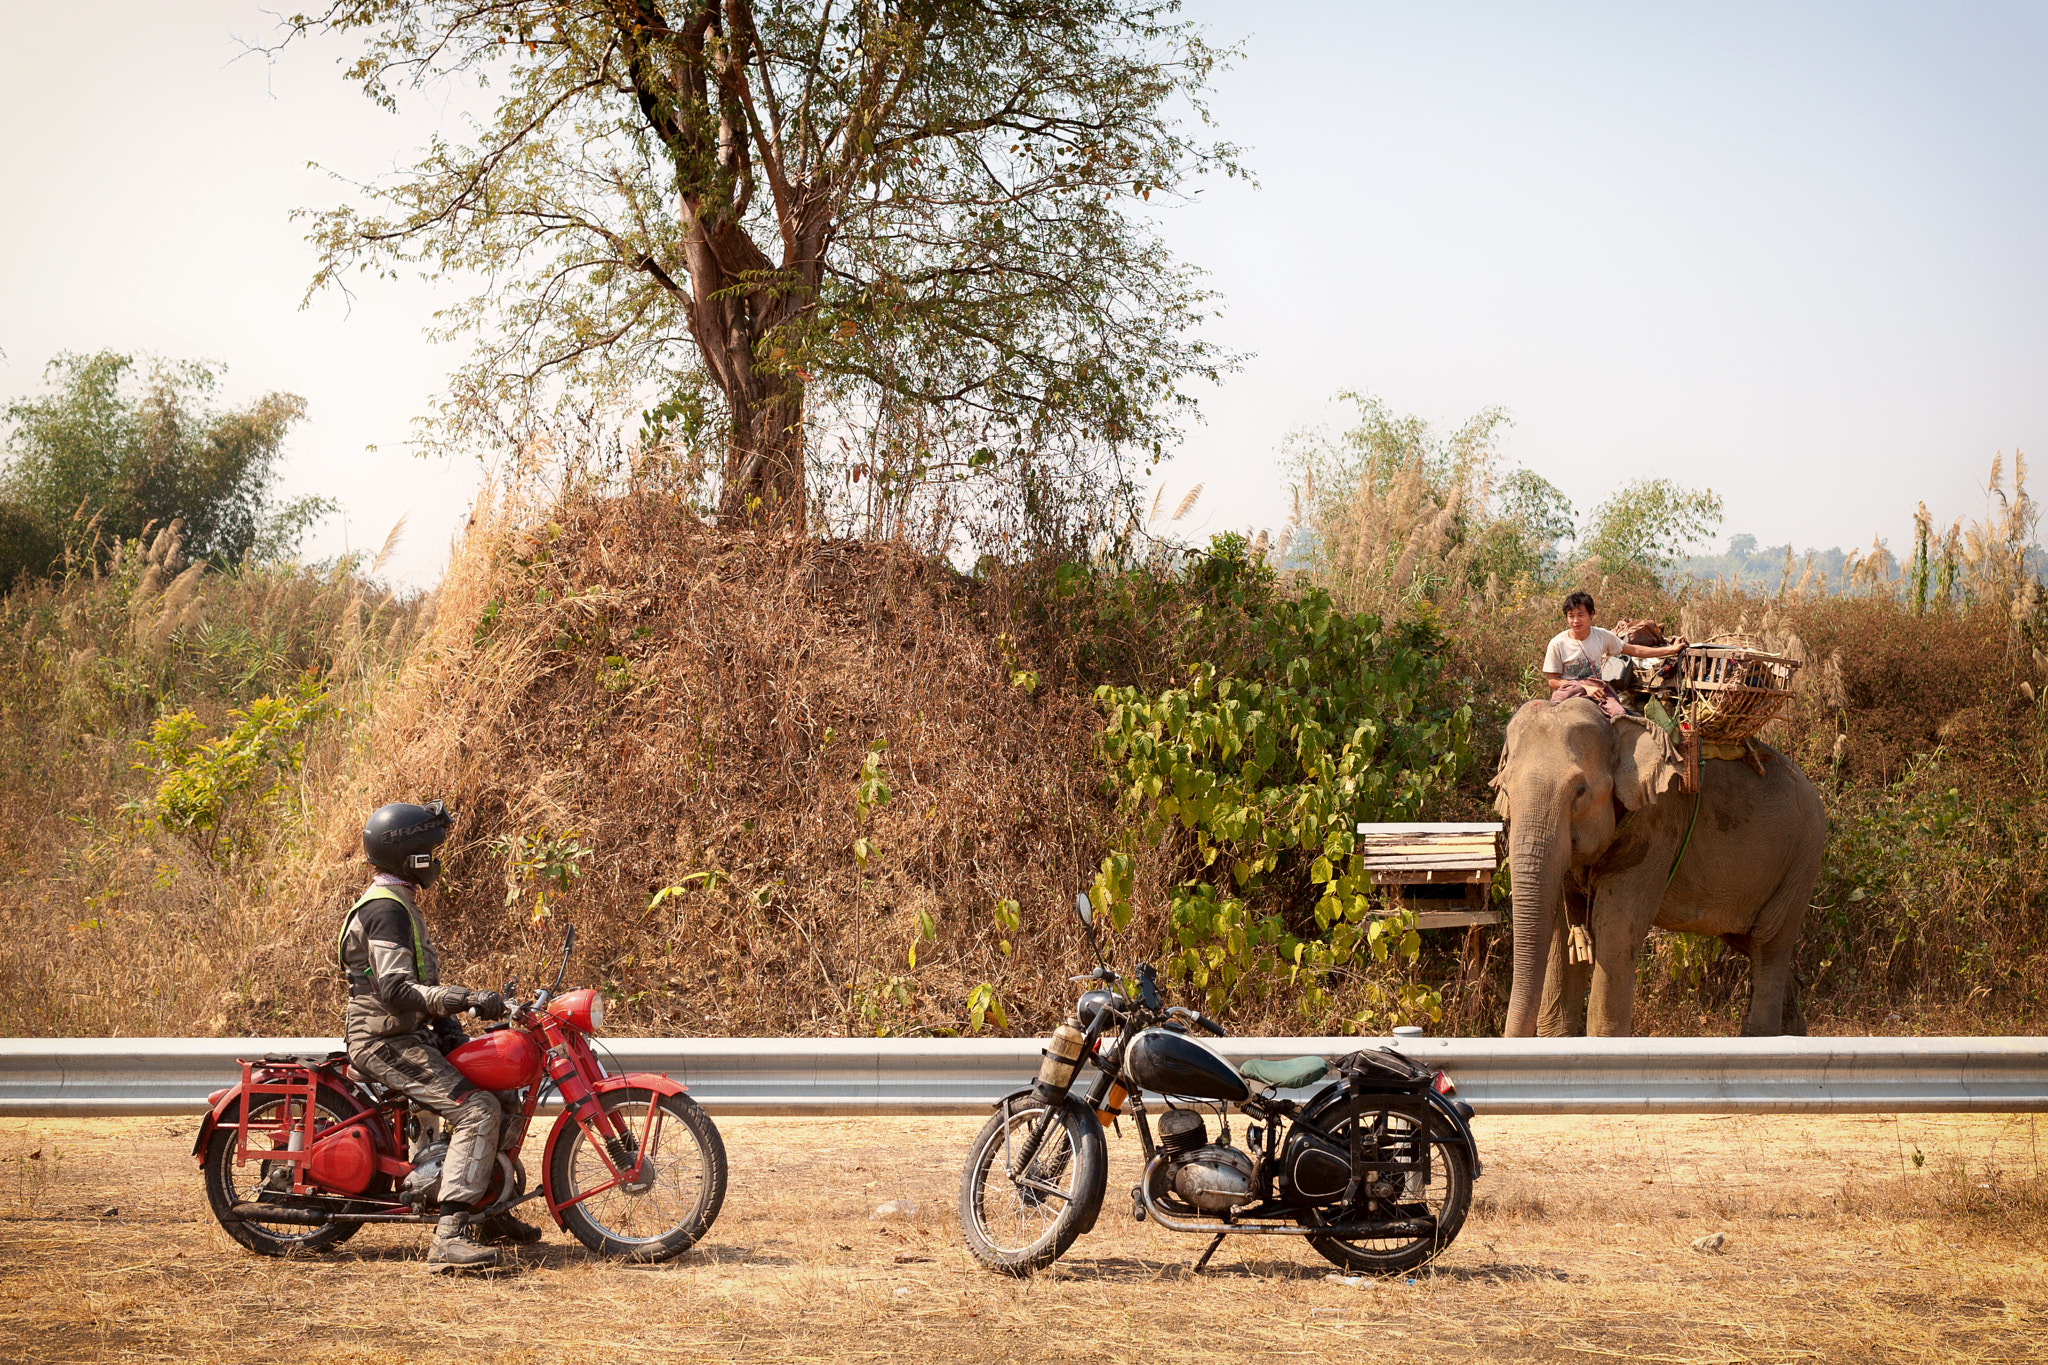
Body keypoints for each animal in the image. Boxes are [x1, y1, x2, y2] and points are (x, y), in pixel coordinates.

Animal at [1490, 699, 1826, 1039]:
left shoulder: (1656, 825)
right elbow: (1562, 932)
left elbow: (1616, 927)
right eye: (1503, 789)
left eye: (1580, 791)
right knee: (1751, 945)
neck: (1614, 726)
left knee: (1768, 943)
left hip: (1802, 858)